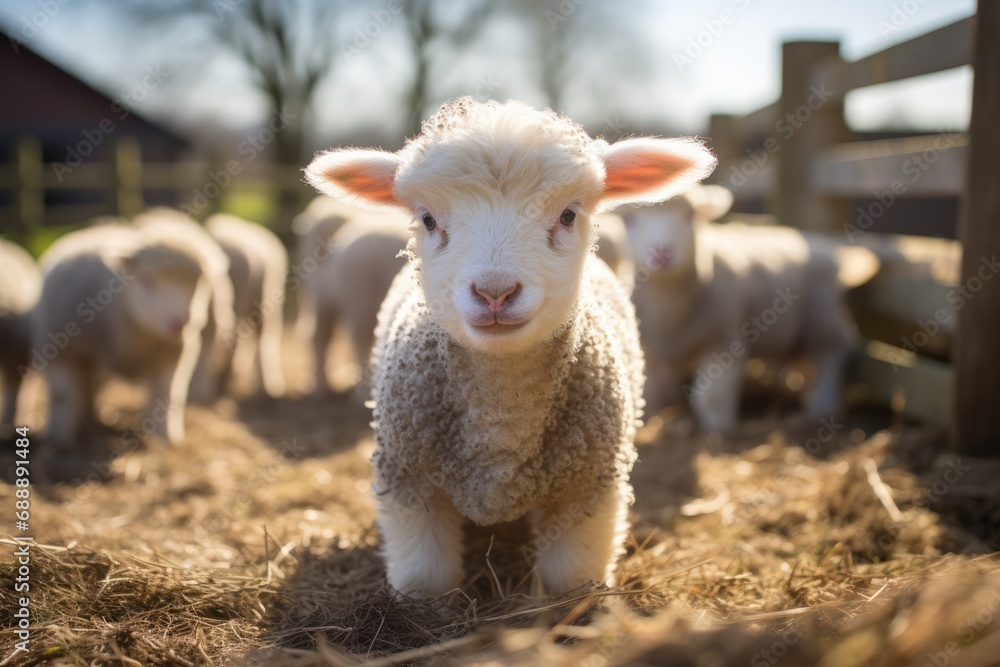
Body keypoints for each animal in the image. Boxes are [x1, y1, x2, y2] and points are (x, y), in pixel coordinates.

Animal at [35, 221, 214, 444]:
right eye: (147, 280)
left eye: (197, 285)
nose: (179, 323)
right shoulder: (63, 350)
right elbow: (63, 396)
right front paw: (60, 438)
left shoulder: (171, 354)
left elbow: (165, 396)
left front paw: (166, 439)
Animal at [305, 97, 717, 596]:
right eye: (428, 219)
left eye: (568, 215)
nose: (495, 293)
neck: (501, 411)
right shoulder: (408, 480)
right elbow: (425, 578)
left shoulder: (589, 487)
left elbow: (570, 580)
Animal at [625, 184, 879, 432]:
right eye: (630, 220)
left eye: (690, 215)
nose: (661, 253)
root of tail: (824, 245)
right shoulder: (649, 350)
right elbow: (646, 392)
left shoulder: (725, 341)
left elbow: (711, 396)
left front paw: (720, 429)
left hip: (822, 317)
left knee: (833, 352)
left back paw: (820, 408)